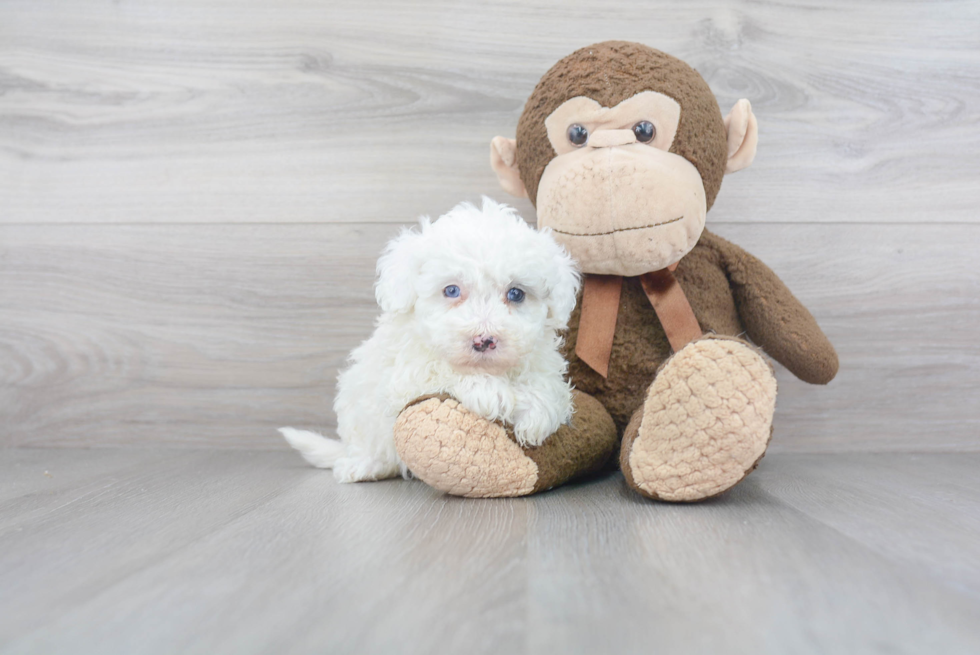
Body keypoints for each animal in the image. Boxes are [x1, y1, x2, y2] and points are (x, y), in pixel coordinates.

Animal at [278, 197, 580, 484]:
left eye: (516, 293)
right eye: (451, 290)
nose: (484, 340)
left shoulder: (541, 357)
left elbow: (547, 383)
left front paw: (539, 411)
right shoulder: (404, 376)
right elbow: (440, 369)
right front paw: (490, 391)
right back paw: (362, 466)